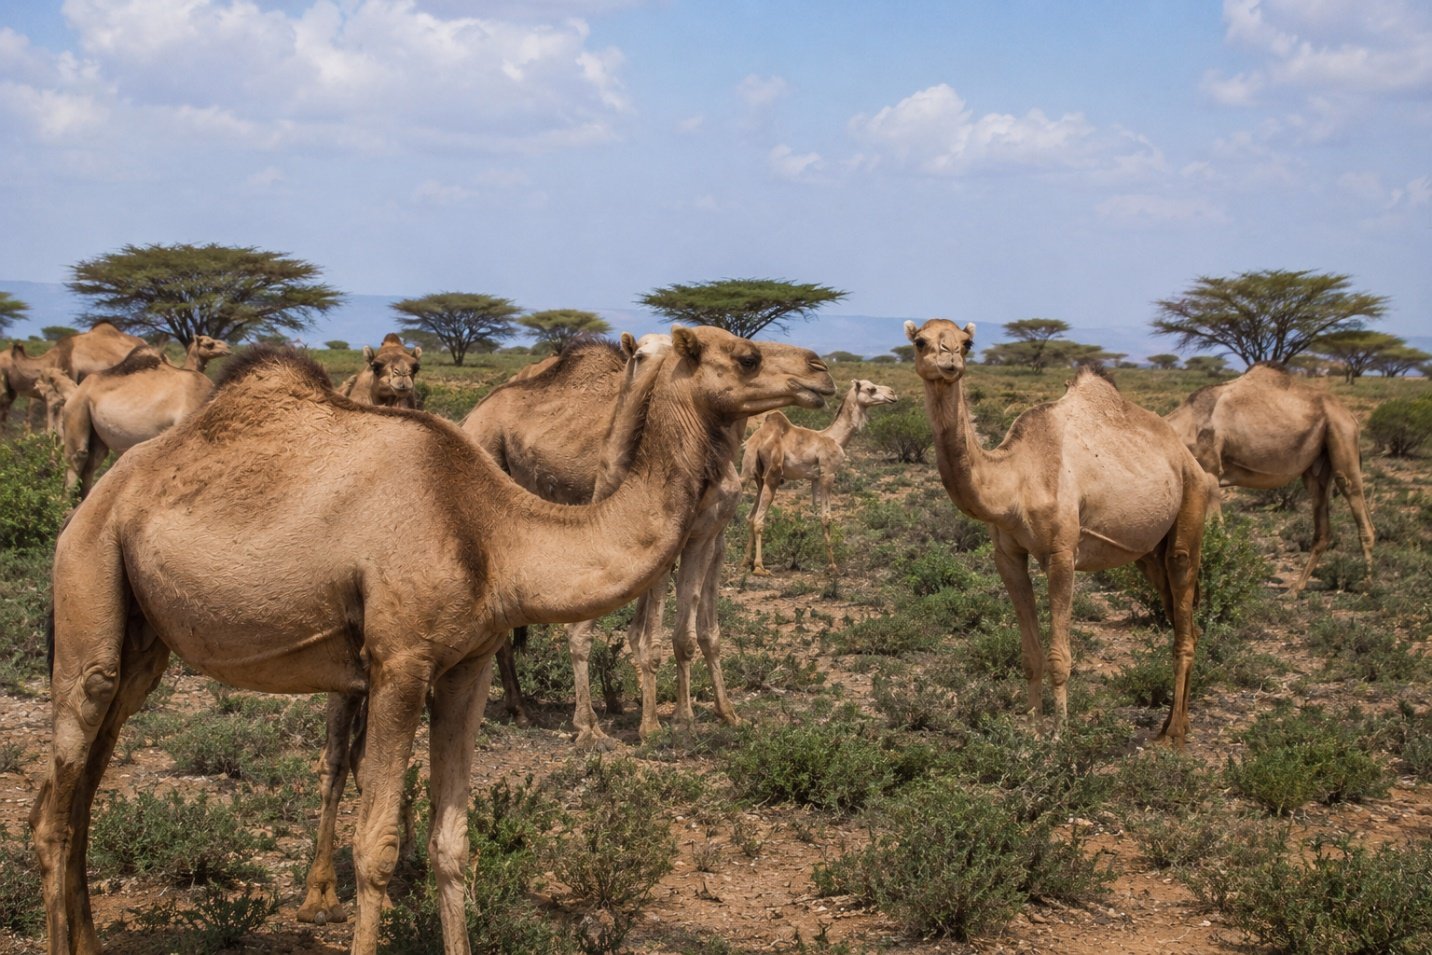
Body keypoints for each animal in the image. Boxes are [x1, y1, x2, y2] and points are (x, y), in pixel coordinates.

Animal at [60, 337, 232, 497]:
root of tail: (78, 389)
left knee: (92, 464)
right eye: (209, 344)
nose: (228, 348)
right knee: (78, 457)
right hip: (77, 408)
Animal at [741, 378, 898, 574]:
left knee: (750, 516)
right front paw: (832, 566)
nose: (893, 394)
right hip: (773, 476)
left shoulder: (815, 479)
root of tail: (755, 443)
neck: (835, 439)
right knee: (759, 519)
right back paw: (759, 566)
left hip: (757, 477)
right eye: (870, 389)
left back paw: (745, 562)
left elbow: (818, 514)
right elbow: (826, 517)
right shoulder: (828, 474)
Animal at [905, 319, 1211, 746]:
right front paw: (1031, 733)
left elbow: (1058, 656)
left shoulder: (1063, 553)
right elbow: (1030, 654)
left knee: (1184, 607)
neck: (1015, 479)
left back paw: (1175, 735)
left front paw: (1059, 736)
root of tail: (1187, 457)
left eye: (967, 343)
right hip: (1150, 554)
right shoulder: (1008, 555)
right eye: (920, 342)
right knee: (1184, 619)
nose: (948, 359)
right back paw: (1170, 724)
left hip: (1191, 508)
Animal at [1164, 363, 1375, 594]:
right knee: (1322, 525)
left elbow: (1216, 530)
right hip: (1317, 467)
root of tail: (1350, 416)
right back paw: (1296, 589)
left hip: (1342, 436)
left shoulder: (1210, 470)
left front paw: (1220, 582)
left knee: (1354, 497)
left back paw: (1366, 586)